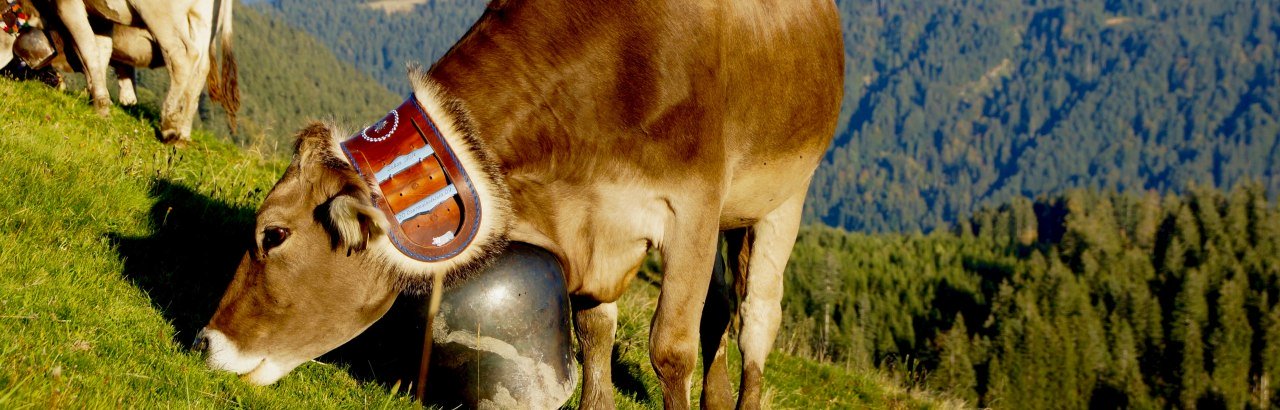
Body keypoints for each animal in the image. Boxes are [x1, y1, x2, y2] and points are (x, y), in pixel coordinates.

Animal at [1, 0, 240, 144]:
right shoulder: (101, 16)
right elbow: (100, 52)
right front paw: (96, 98)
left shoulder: (69, 5)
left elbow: (88, 49)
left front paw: (101, 106)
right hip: (202, 22)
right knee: (200, 70)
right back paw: (184, 132)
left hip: (161, 14)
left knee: (182, 56)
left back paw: (169, 125)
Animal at [194, 1, 844, 407]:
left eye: (273, 235)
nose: (205, 342)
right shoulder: (593, 226)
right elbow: (594, 331)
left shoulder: (693, 208)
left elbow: (670, 352)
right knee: (721, 311)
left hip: (784, 198)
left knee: (757, 318)